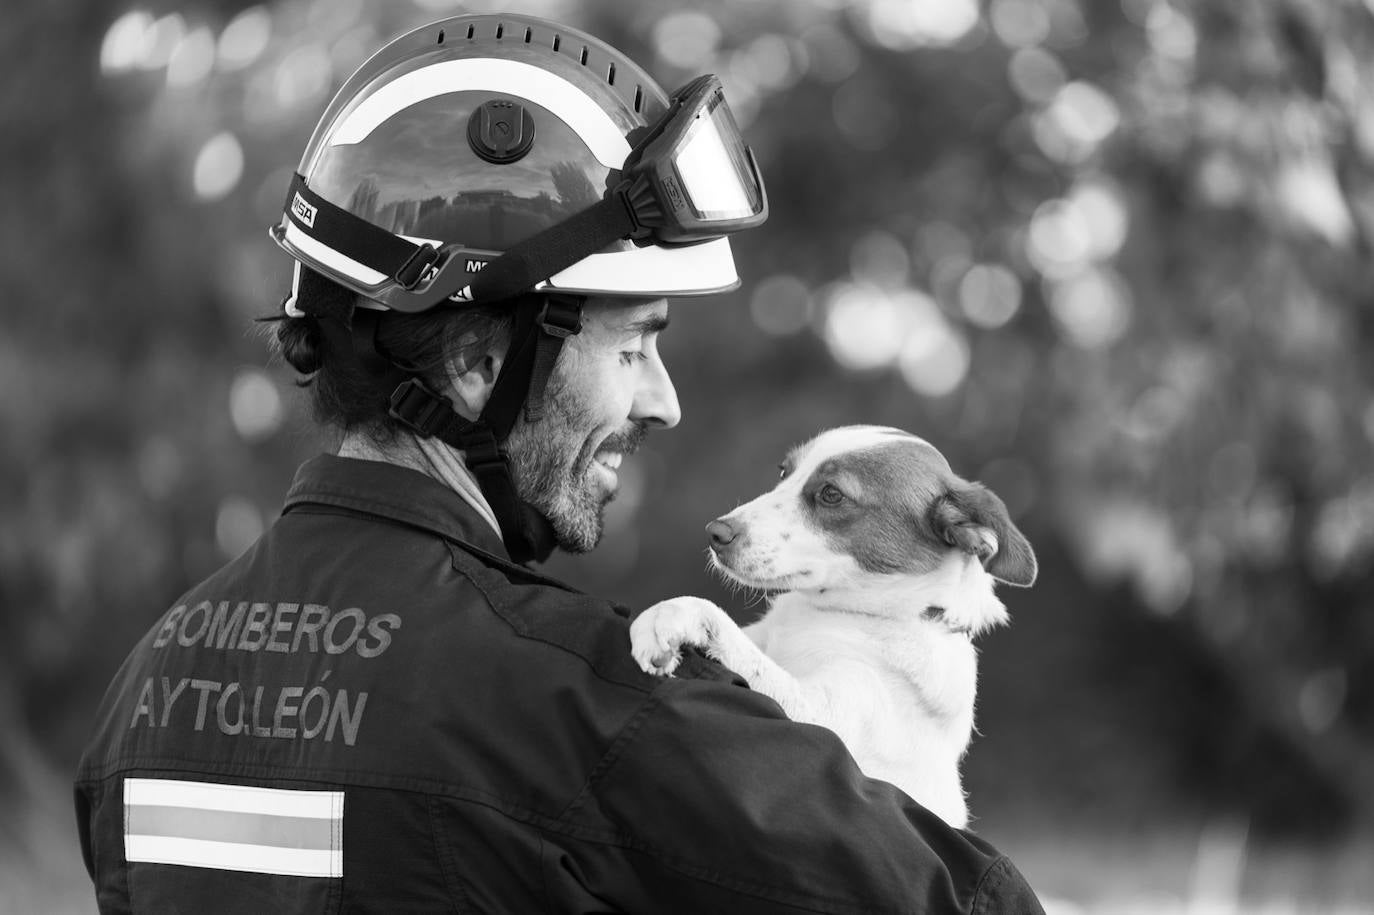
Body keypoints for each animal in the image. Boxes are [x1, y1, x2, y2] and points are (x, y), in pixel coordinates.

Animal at [629, 423, 1033, 824]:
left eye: (831, 494)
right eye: (784, 472)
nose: (715, 532)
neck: (844, 616)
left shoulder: (821, 715)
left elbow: (730, 636)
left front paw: (674, 614)